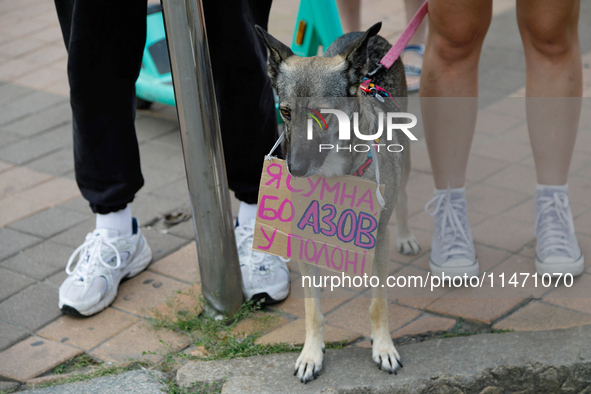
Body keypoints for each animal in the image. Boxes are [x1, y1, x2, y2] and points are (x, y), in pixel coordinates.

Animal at [258, 20, 420, 382]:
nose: (294, 170)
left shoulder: (377, 237)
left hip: (404, 161)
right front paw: (311, 354)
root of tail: (364, 37)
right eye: (285, 112)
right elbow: (312, 309)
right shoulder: (305, 239)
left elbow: (378, 303)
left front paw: (383, 347)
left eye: (323, 115)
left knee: (404, 196)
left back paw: (406, 236)